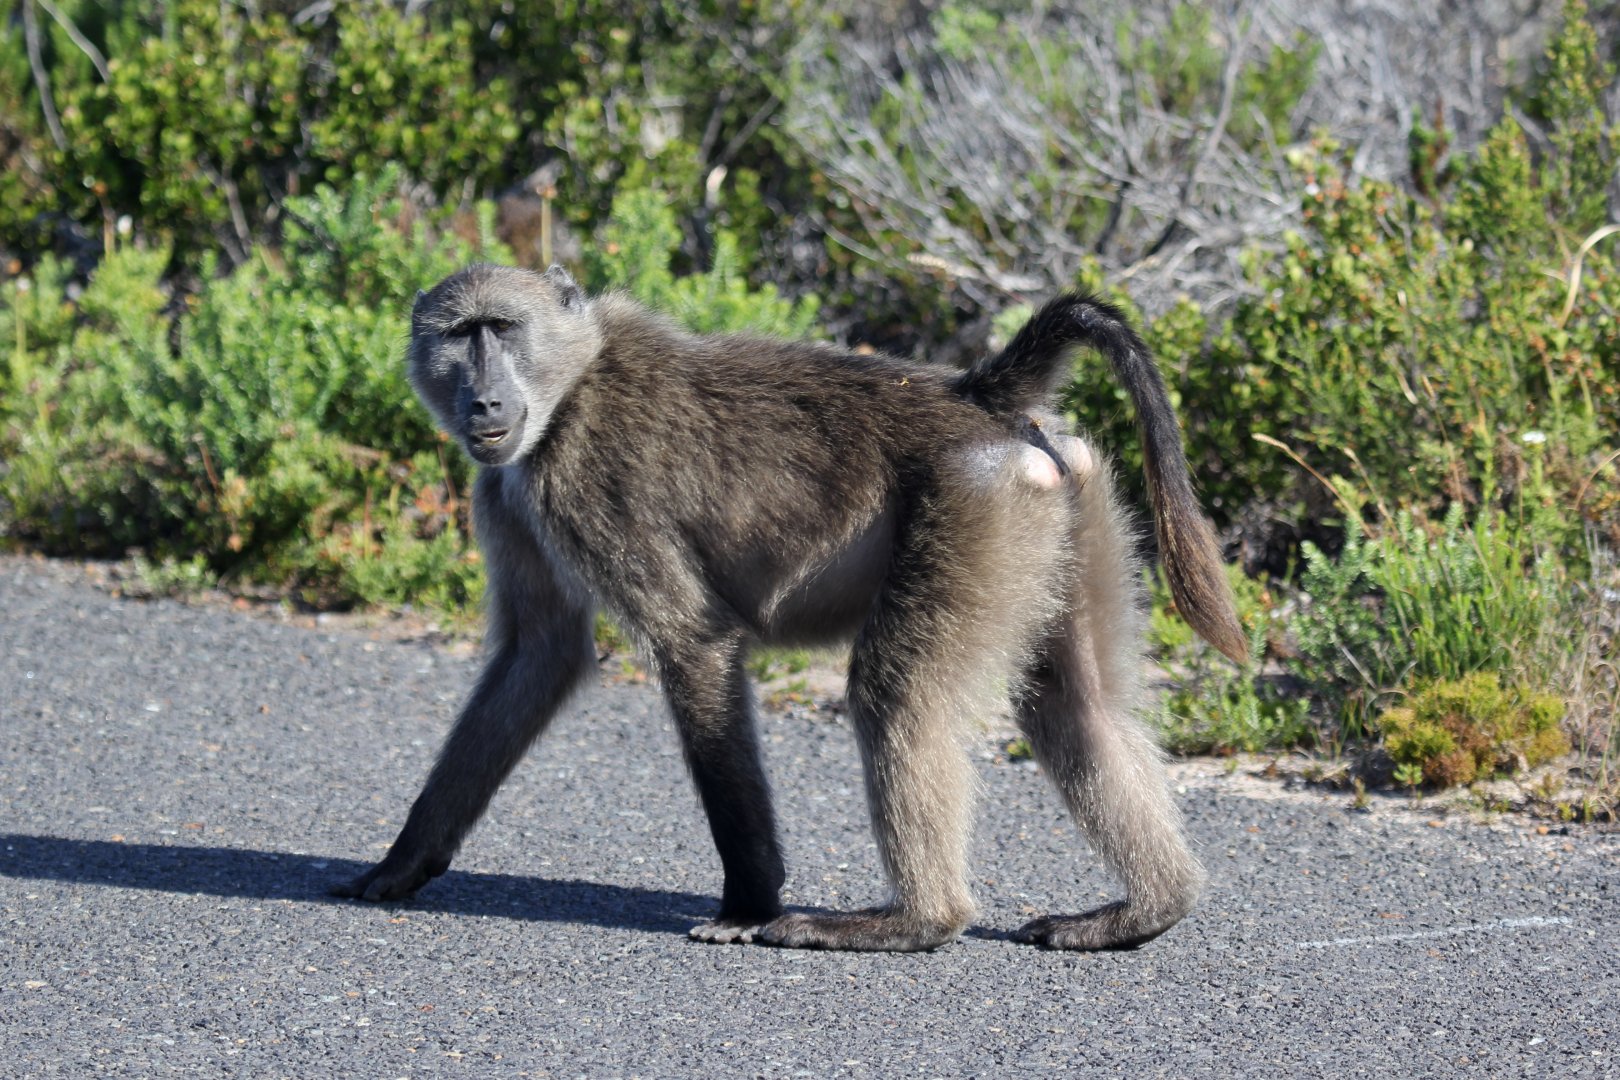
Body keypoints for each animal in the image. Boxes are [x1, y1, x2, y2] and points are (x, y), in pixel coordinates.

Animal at [329, 263, 1246, 952]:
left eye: (503, 329)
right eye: (458, 337)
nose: (484, 404)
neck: (571, 388)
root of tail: (975, 396)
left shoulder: (588, 485)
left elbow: (690, 643)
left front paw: (746, 905)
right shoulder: (507, 492)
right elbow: (538, 653)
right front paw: (402, 864)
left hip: (974, 502)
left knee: (895, 693)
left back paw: (914, 923)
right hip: (1068, 503)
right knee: (1073, 706)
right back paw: (1147, 910)